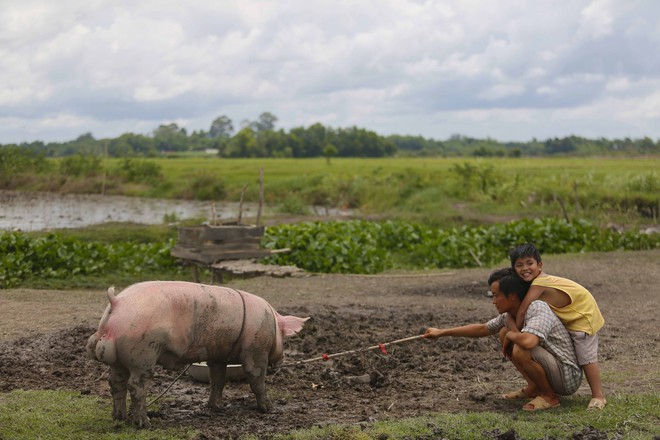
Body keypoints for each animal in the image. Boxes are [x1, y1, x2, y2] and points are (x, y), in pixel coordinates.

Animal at [85, 280, 310, 428]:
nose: (282, 360)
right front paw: (269, 409)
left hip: (119, 359)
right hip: (143, 352)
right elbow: (256, 380)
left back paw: (119, 418)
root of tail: (116, 303)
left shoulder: (217, 355)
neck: (271, 322)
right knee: (136, 385)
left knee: (116, 382)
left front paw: (216, 408)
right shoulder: (255, 351)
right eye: (283, 335)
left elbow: (218, 379)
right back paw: (144, 423)